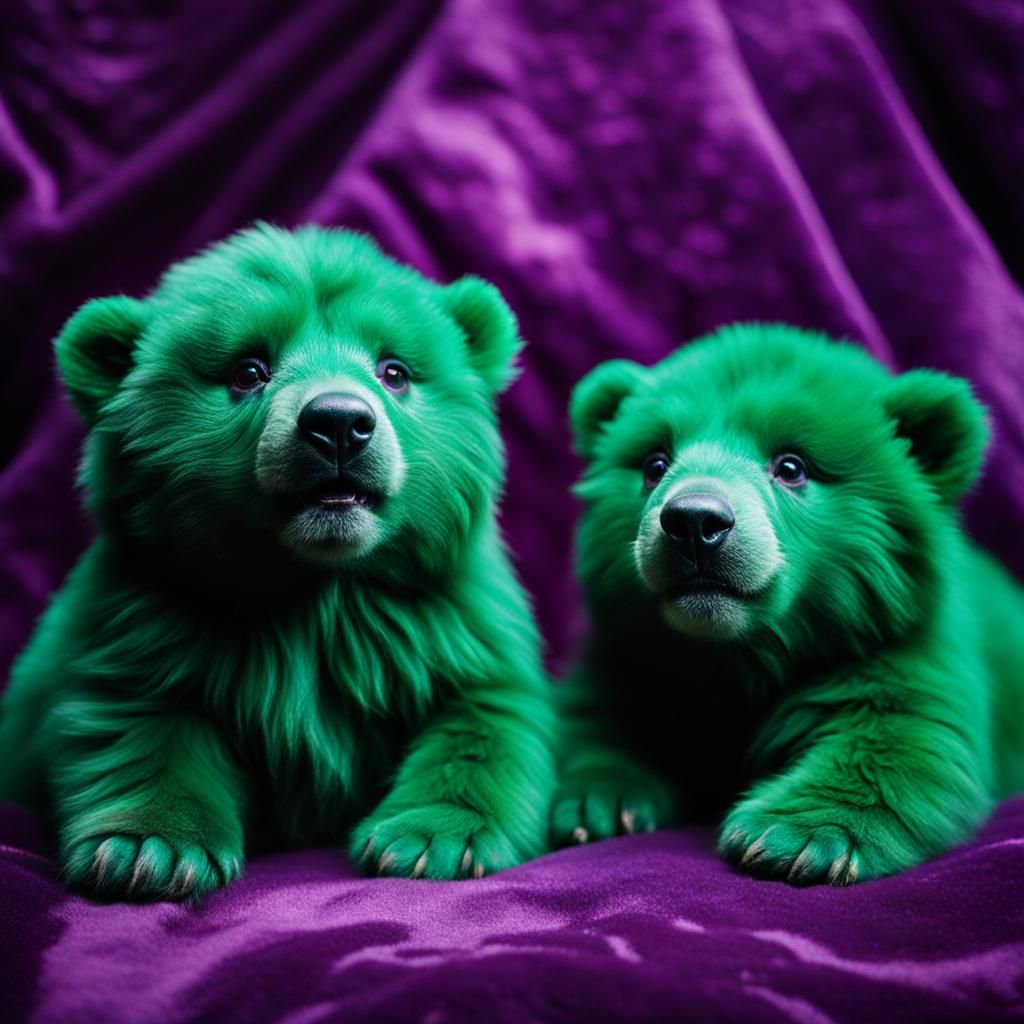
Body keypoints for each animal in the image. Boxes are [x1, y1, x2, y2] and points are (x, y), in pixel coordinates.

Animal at [0, 223, 556, 900]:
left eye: (395, 370)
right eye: (248, 369)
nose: (339, 421)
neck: (318, 587)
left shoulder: (454, 623)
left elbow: (484, 725)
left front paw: (431, 838)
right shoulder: (137, 620)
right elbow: (141, 727)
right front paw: (148, 847)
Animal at [552, 323, 1024, 885]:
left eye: (792, 465)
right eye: (654, 463)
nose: (694, 520)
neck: (742, 654)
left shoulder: (902, 641)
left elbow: (904, 738)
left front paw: (795, 835)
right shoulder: (635, 650)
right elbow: (599, 713)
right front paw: (601, 802)